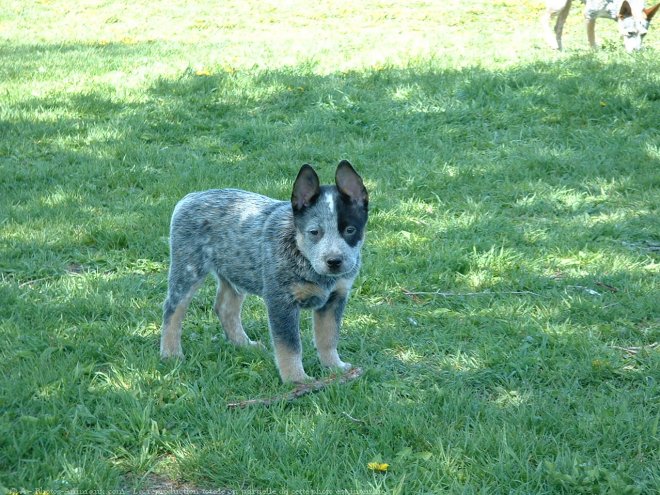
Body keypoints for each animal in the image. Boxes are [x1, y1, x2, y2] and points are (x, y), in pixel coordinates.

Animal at [159, 162, 366, 384]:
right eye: (314, 232)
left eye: (350, 230)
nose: (334, 261)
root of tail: (191, 196)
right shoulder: (281, 301)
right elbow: (289, 346)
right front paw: (296, 379)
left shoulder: (335, 298)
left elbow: (328, 337)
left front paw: (335, 367)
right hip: (188, 268)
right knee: (173, 309)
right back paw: (171, 354)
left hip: (235, 271)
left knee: (225, 308)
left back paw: (244, 344)